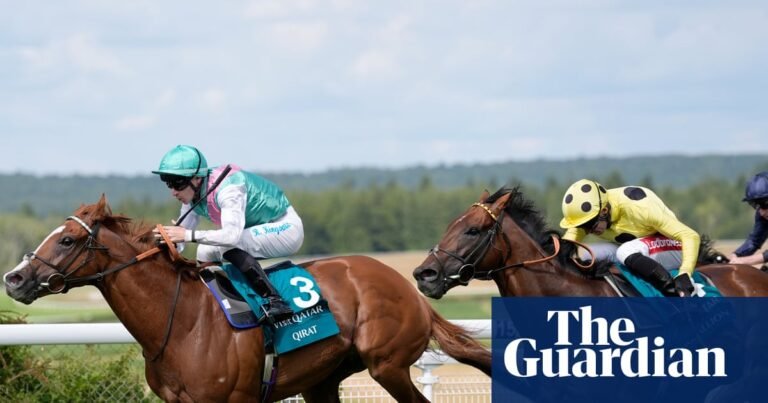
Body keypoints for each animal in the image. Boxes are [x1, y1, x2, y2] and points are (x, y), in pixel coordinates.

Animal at [4, 196, 491, 402]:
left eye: (67, 240)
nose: (14, 278)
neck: (182, 321)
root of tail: (409, 288)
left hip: (387, 364)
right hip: (323, 380)